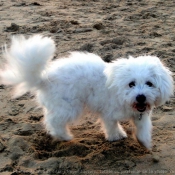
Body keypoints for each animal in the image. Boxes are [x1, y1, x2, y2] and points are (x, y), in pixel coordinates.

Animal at [0, 35, 174, 149]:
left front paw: (145, 143)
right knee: (54, 121)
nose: (141, 97)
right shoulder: (108, 112)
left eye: (149, 84)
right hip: (69, 107)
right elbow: (111, 126)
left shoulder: (140, 114)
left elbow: (143, 128)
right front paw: (116, 137)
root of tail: (44, 79)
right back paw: (64, 136)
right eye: (131, 84)